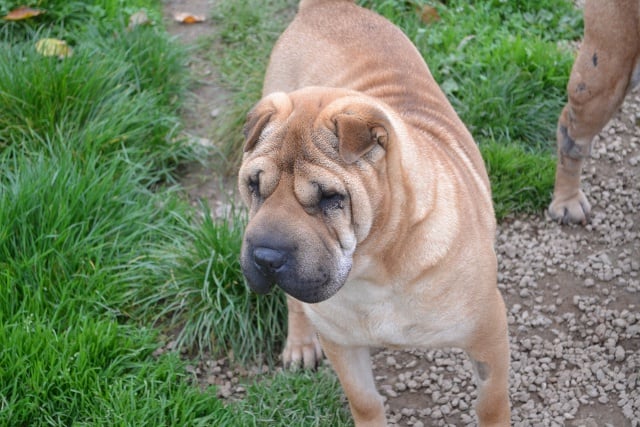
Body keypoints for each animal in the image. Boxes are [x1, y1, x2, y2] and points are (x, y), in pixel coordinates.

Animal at [239, 1, 510, 426]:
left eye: (330, 197)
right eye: (254, 184)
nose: (266, 256)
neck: (375, 266)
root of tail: (325, 7)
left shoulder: (488, 334)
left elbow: (491, 403)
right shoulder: (341, 342)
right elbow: (364, 401)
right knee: (295, 303)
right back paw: (300, 342)